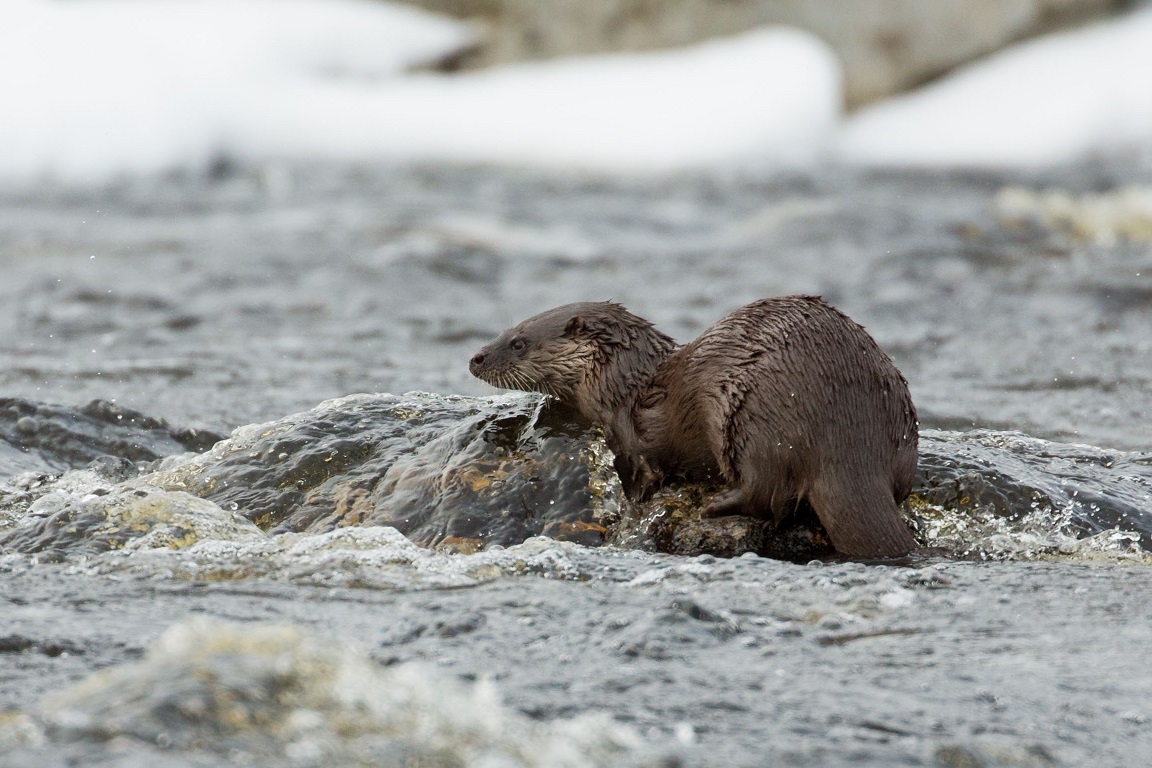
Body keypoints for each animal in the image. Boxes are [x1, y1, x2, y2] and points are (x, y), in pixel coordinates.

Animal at [467, 297, 916, 559]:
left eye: (519, 342)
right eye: (504, 332)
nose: (476, 356)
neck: (621, 384)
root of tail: (851, 448)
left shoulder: (627, 431)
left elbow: (642, 470)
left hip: (745, 417)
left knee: (766, 492)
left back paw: (714, 506)